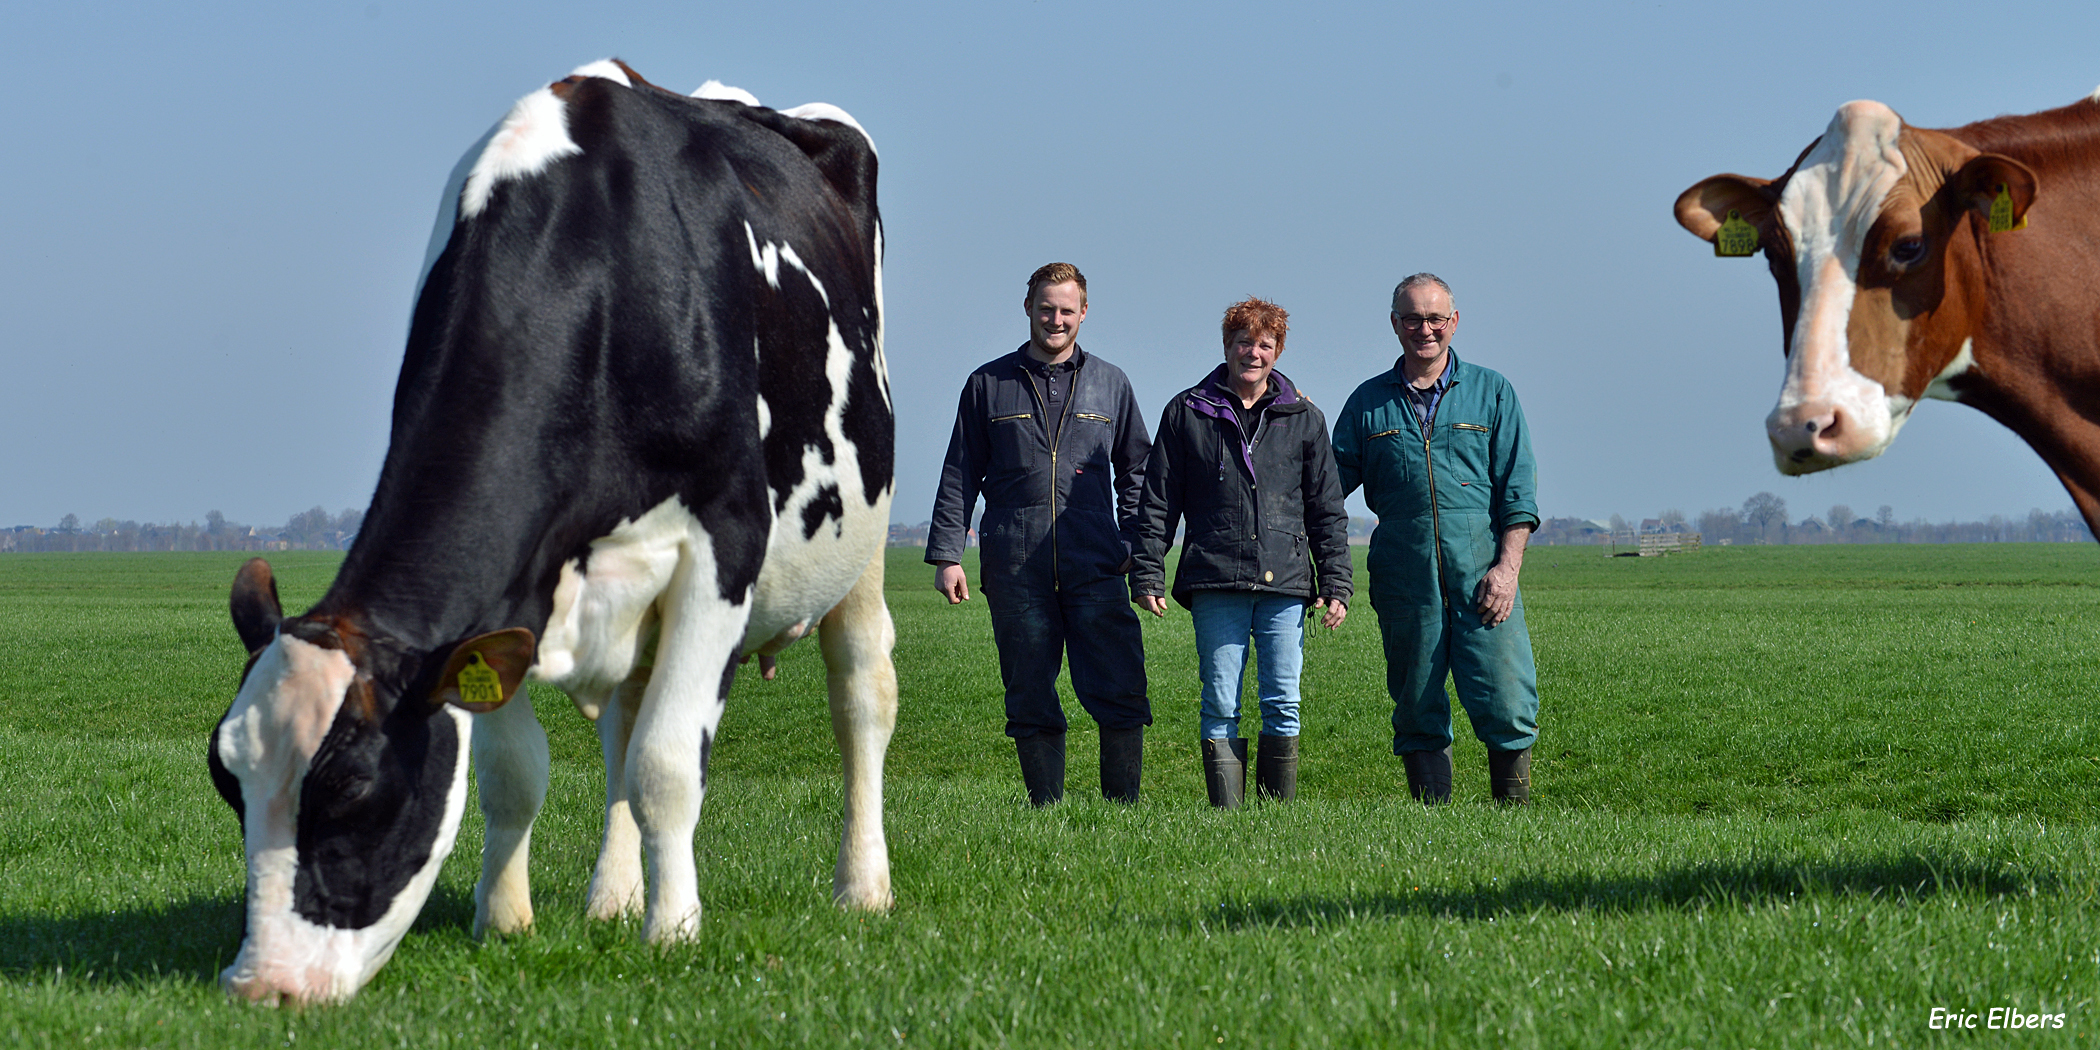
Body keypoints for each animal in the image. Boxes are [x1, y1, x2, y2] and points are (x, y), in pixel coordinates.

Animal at [208, 59, 898, 1007]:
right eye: (226, 780)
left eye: (351, 786)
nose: (261, 985)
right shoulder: (507, 591)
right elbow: (516, 774)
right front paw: (506, 921)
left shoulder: (724, 543)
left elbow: (668, 763)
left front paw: (674, 933)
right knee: (624, 719)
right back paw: (612, 896)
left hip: (863, 537)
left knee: (859, 693)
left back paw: (862, 888)